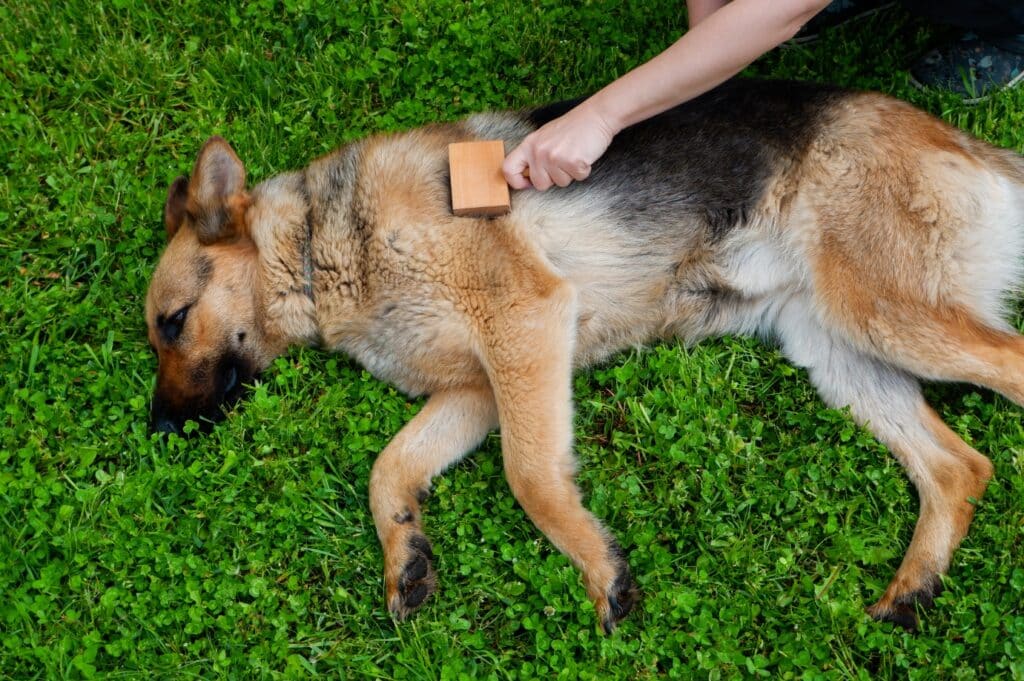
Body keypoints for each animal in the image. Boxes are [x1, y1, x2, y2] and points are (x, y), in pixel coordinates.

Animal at [144, 79, 1024, 630]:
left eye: (172, 322)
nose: (158, 433)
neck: (325, 245)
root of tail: (969, 144)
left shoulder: (523, 323)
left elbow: (530, 475)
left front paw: (600, 568)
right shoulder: (476, 392)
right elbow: (388, 469)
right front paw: (406, 555)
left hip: (886, 314)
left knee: (1006, 373)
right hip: (841, 355)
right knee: (959, 467)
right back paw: (915, 586)